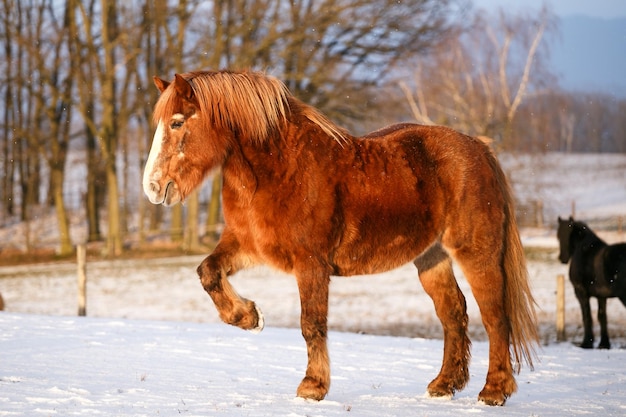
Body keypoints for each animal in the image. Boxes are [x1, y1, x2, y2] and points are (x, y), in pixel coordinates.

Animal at [143, 70, 536, 404]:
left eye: (177, 122)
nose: (153, 187)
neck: (281, 168)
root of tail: (479, 148)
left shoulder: (311, 264)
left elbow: (312, 323)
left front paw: (312, 386)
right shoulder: (247, 247)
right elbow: (208, 273)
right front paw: (249, 317)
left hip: (476, 253)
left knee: (495, 317)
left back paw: (494, 391)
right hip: (431, 258)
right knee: (454, 313)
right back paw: (444, 385)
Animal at [556, 216, 624, 350]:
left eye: (559, 235)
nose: (562, 258)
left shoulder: (581, 292)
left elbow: (587, 316)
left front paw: (586, 343)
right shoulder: (601, 296)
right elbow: (602, 317)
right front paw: (604, 344)